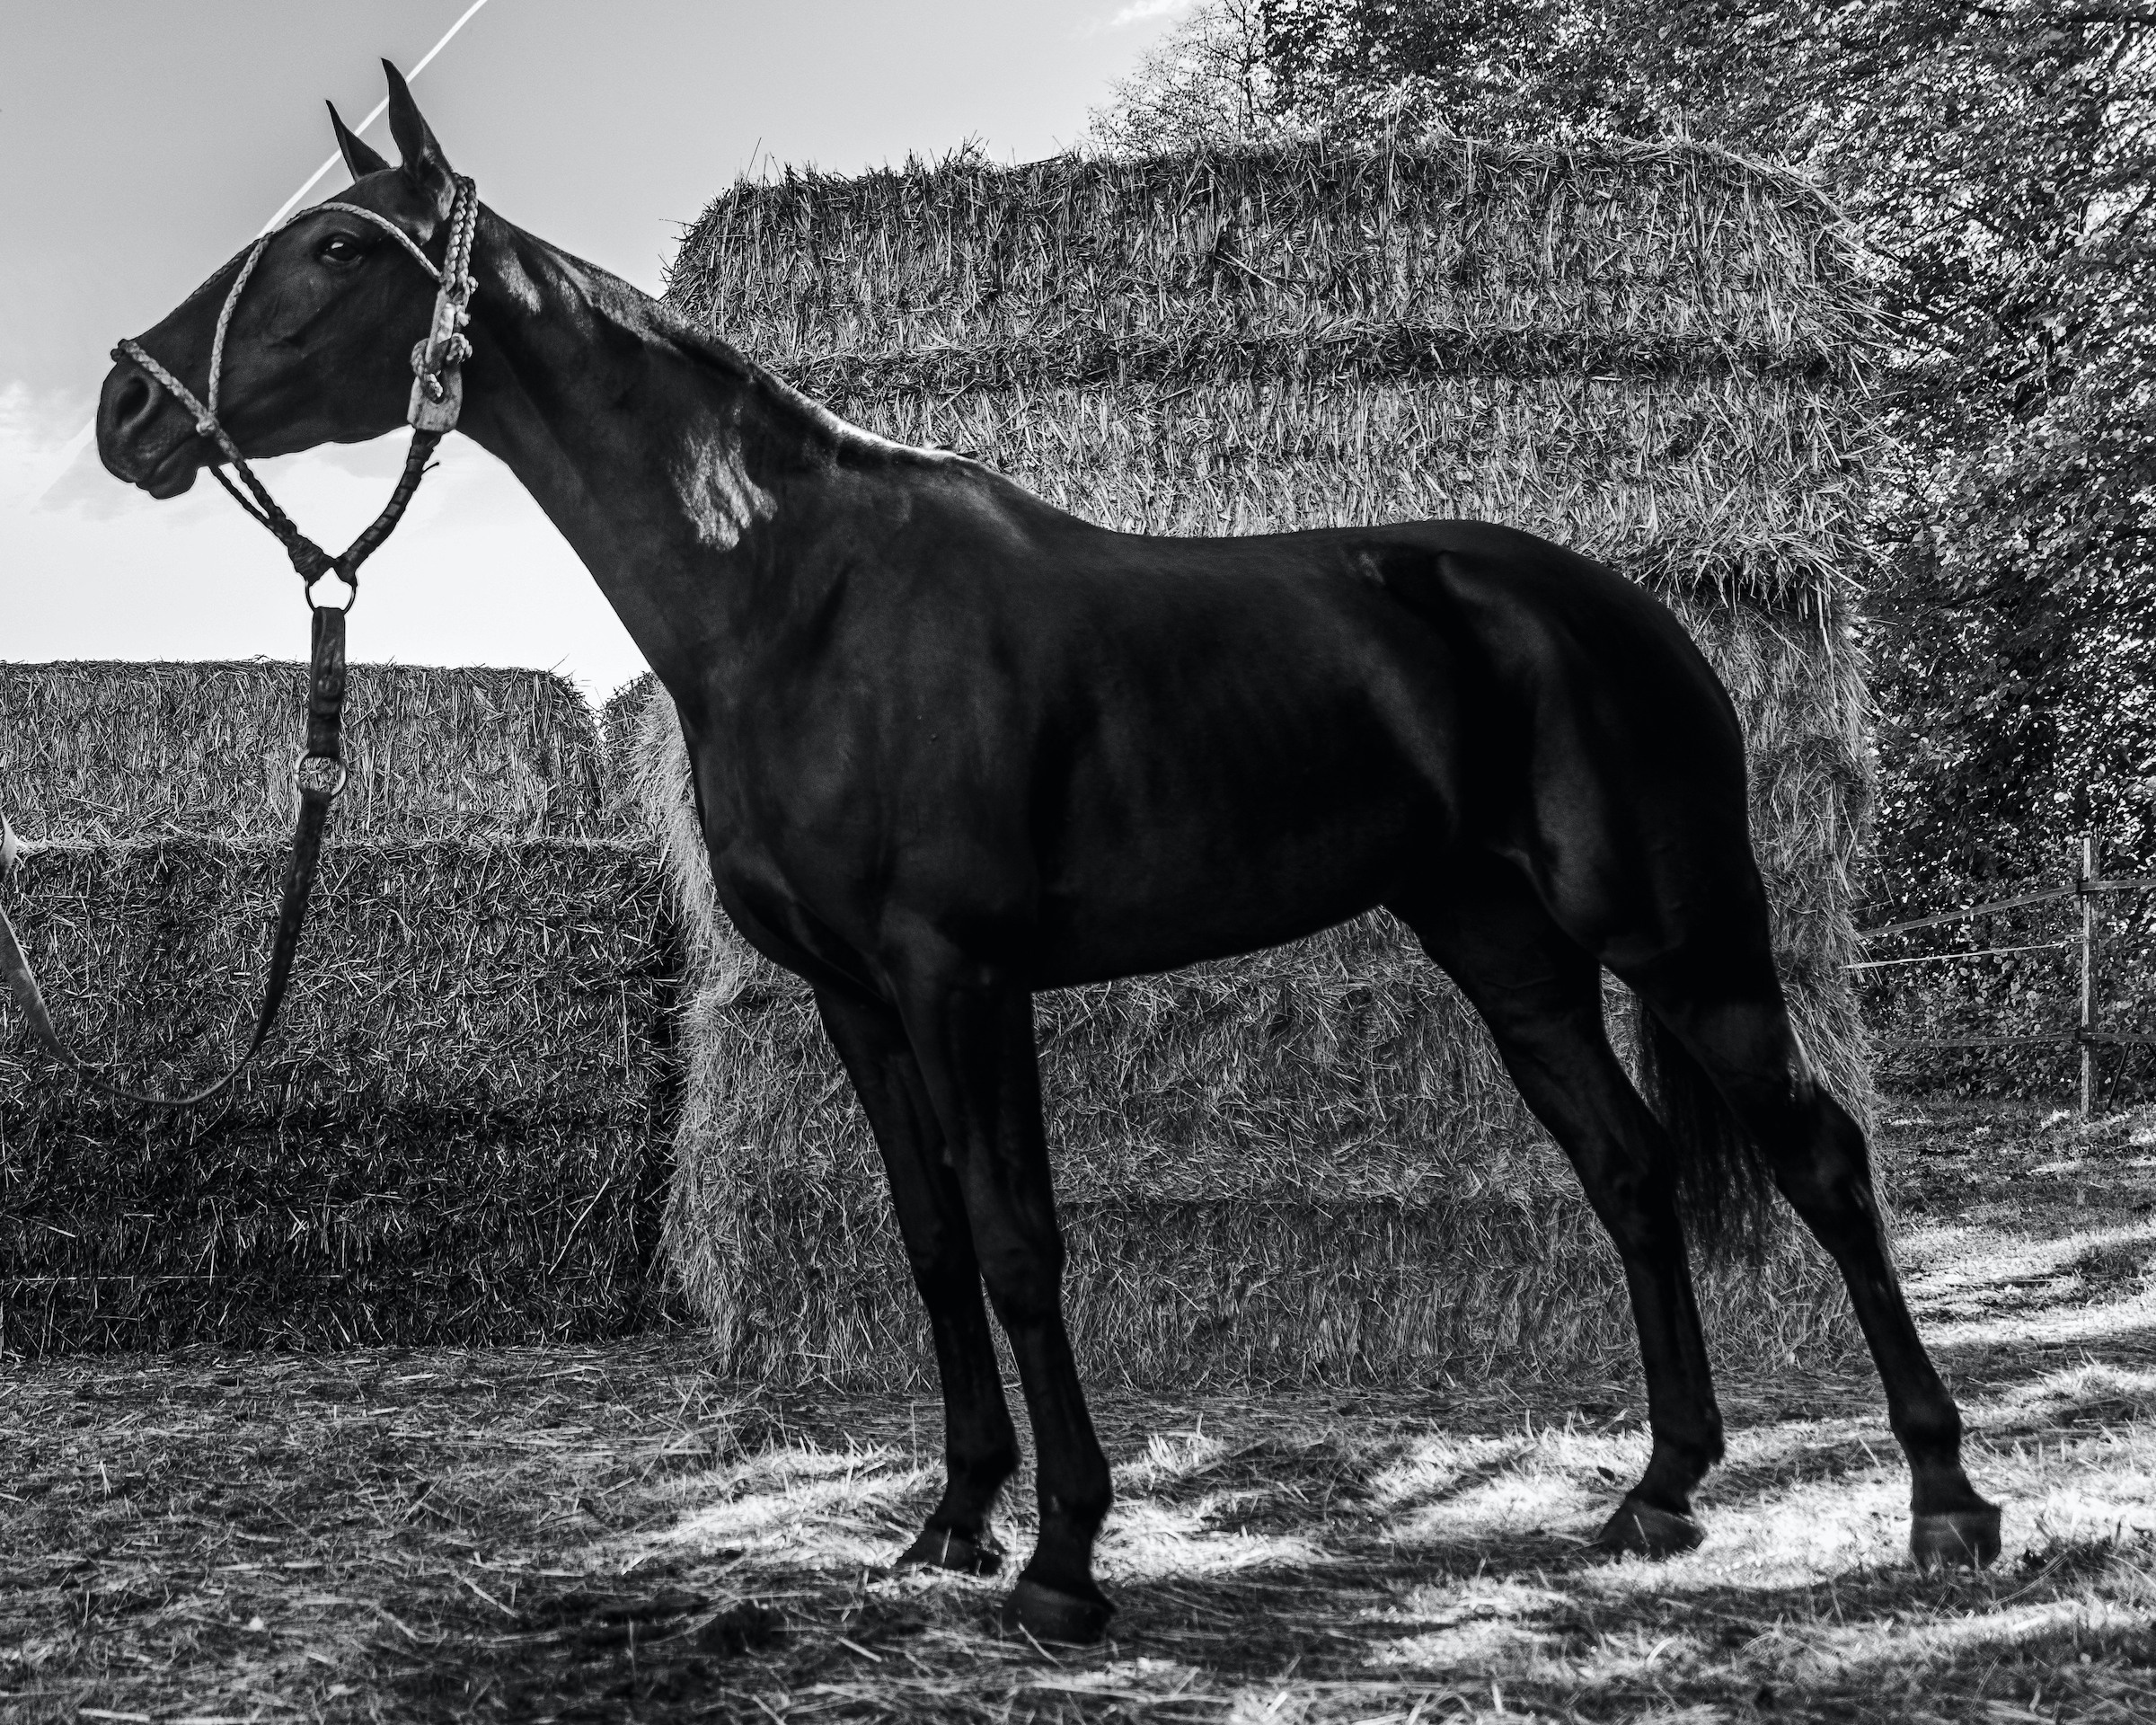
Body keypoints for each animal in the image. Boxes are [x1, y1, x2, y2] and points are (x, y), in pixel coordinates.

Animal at [95, 64, 1999, 1644]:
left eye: (339, 247)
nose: (127, 411)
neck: (797, 600)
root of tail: (1631, 609)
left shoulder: (962, 976)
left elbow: (1020, 1242)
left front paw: (1067, 1559)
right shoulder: (857, 998)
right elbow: (934, 1242)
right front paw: (951, 1521)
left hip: (1679, 934)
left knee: (1821, 1160)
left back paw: (1945, 1501)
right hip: (1502, 942)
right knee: (1629, 1169)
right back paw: (1660, 1492)